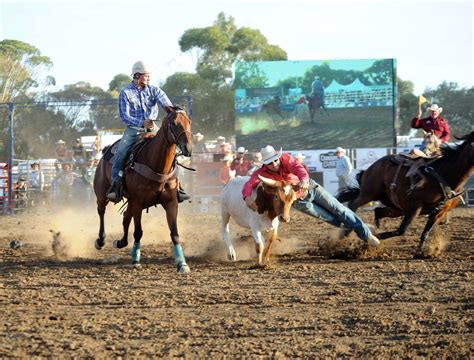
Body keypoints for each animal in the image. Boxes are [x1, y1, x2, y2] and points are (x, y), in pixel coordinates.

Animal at [93, 108, 193, 272]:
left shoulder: (171, 202)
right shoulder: (138, 202)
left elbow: (174, 233)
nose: (188, 148)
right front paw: (135, 259)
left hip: (131, 201)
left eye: (188, 121)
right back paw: (101, 241)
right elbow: (138, 232)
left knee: (126, 217)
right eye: (174, 123)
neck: (156, 165)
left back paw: (120, 242)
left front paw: (182, 264)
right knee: (101, 211)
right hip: (102, 194)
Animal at [338, 132, 472, 256]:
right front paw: (372, 239)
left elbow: (425, 232)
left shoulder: (439, 212)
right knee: (353, 204)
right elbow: (401, 230)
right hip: (369, 193)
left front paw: (421, 252)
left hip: (395, 206)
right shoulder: (415, 207)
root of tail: (373, 166)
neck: (444, 173)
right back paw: (345, 233)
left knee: (378, 211)